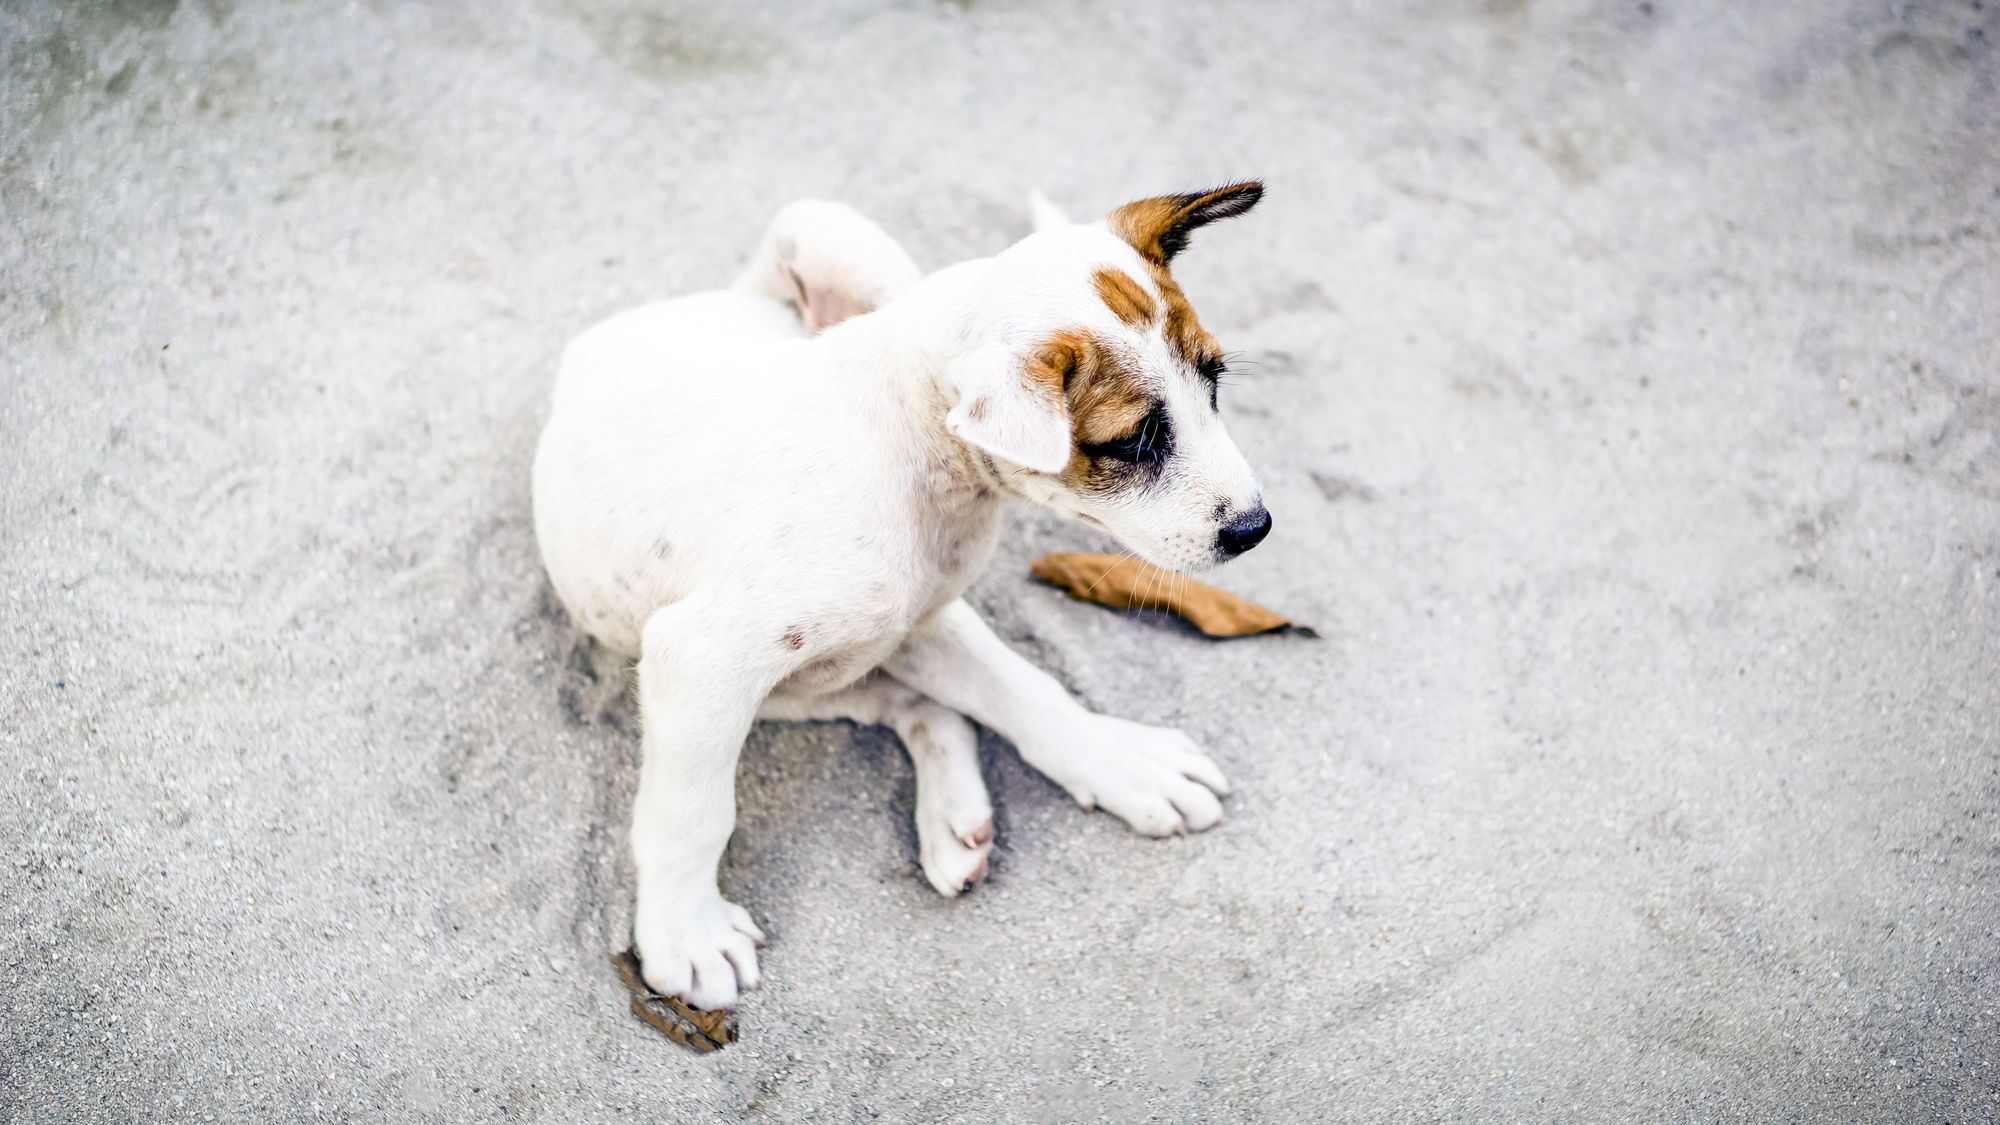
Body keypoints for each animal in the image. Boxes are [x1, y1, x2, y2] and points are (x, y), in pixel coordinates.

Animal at [536, 184, 1264, 1008]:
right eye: (1135, 440)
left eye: (1214, 381)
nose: (1255, 527)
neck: (914, 449)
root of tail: (714, 300)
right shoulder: (701, 661)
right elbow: (692, 811)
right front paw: (684, 931)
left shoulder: (924, 616)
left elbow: (1027, 689)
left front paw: (1121, 760)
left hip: (835, 239)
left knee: (925, 705)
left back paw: (955, 818)